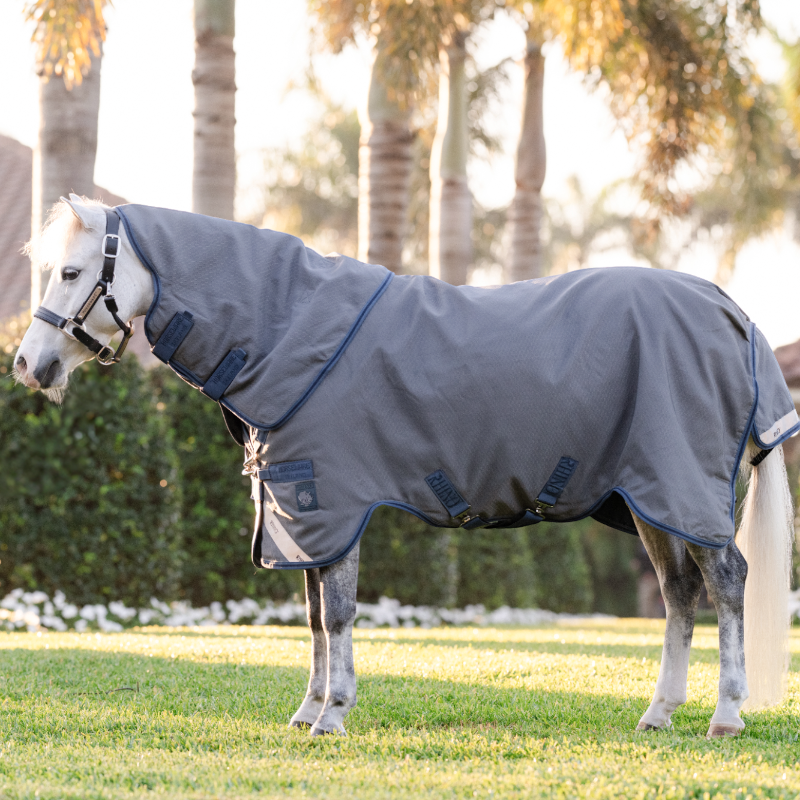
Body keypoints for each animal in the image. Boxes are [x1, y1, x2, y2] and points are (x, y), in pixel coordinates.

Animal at [14, 195, 797, 738]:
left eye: (73, 272)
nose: (26, 364)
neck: (287, 331)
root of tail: (732, 311)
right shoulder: (303, 514)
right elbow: (314, 618)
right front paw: (308, 712)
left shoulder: (330, 503)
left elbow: (336, 614)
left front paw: (333, 715)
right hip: (650, 498)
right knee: (679, 594)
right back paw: (659, 714)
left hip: (683, 487)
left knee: (727, 582)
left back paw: (726, 715)